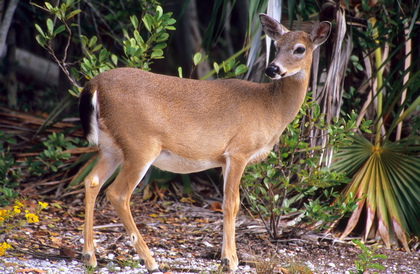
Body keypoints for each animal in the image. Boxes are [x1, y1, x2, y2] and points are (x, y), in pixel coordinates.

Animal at [79, 14, 332, 272]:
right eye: (277, 46)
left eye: (299, 49)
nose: (273, 68)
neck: (271, 108)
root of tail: (94, 85)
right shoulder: (238, 151)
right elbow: (232, 203)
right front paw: (230, 260)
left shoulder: (224, 159)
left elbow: (228, 203)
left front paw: (226, 257)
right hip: (140, 145)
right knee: (118, 193)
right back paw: (149, 260)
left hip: (111, 147)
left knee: (92, 181)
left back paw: (90, 257)